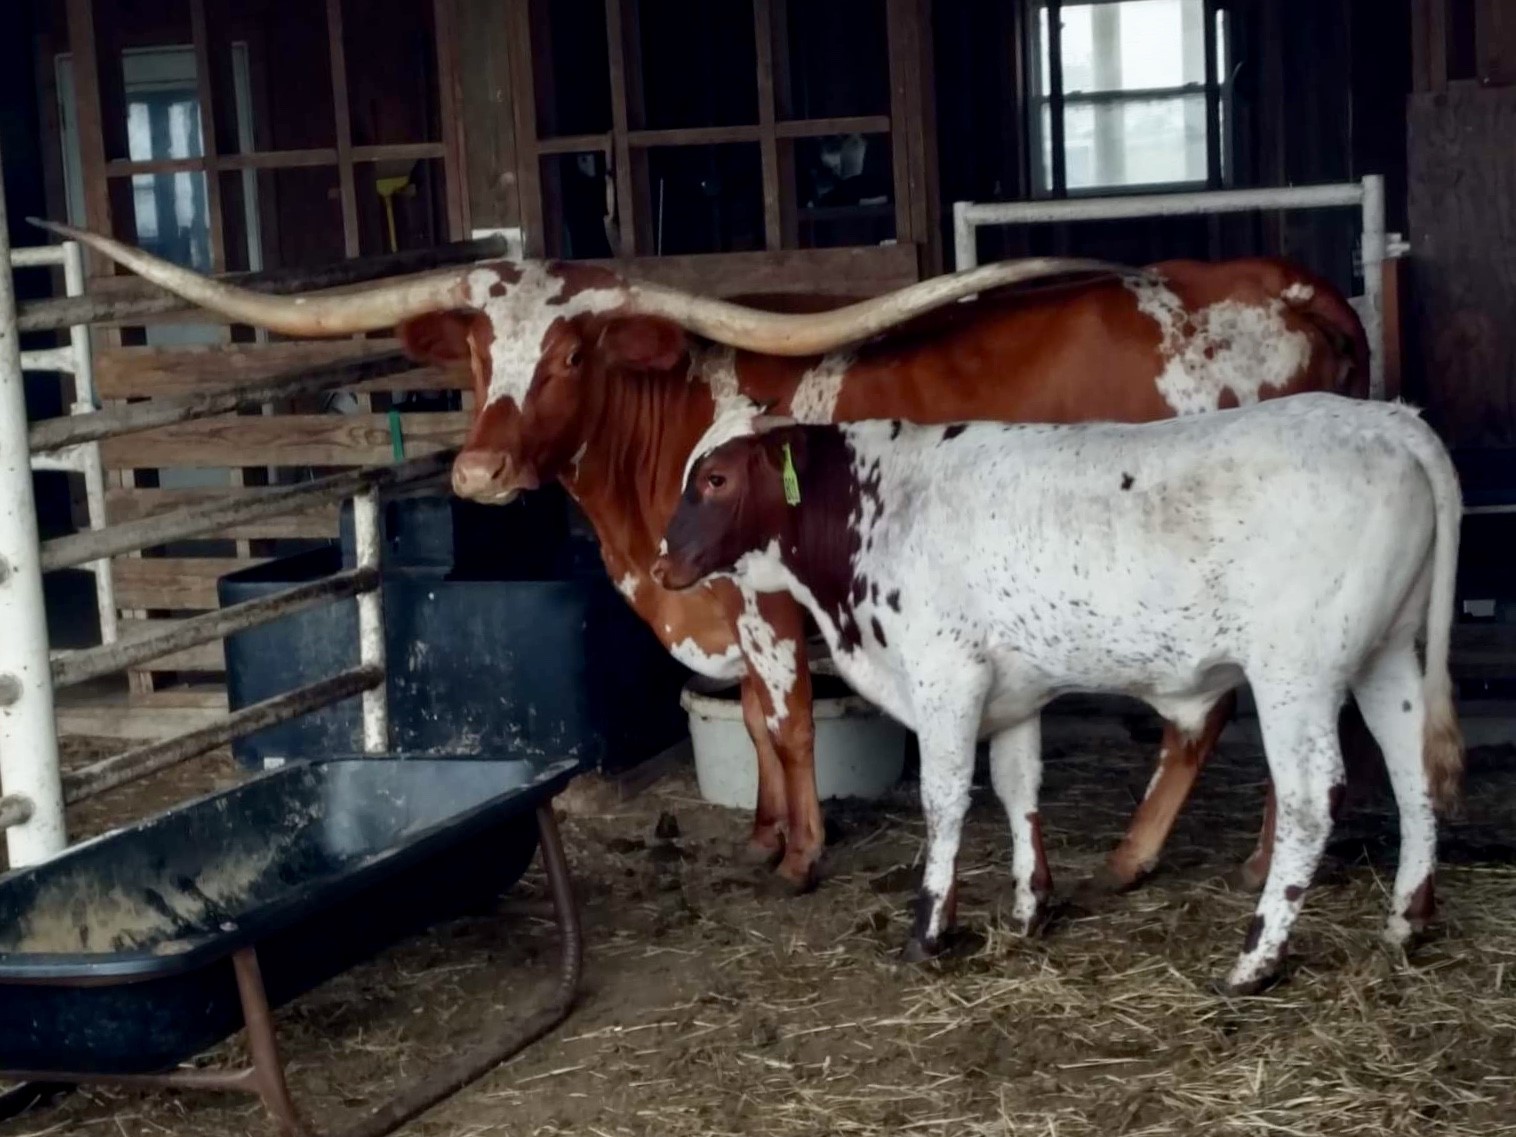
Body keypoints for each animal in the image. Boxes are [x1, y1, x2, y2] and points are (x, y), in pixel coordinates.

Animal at [37, 219, 1369, 898]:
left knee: (1258, 717)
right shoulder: (719, 611)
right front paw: (767, 836)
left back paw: (1199, 857)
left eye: (572, 355)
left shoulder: (769, 605)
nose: (479, 474)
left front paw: (801, 856)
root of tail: (1291, 286)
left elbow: (784, 720)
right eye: (472, 352)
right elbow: (752, 726)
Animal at [651, 394, 1464, 994]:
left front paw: (929, 929)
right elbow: (1019, 786)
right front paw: (1029, 908)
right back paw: (1407, 920)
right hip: (1390, 654)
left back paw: (1255, 959)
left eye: (715, 479)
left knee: (1310, 796)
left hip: (1295, 672)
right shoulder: (1014, 687)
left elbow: (946, 801)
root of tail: (1387, 417)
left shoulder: (946, 676)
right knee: (1414, 773)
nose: (662, 564)